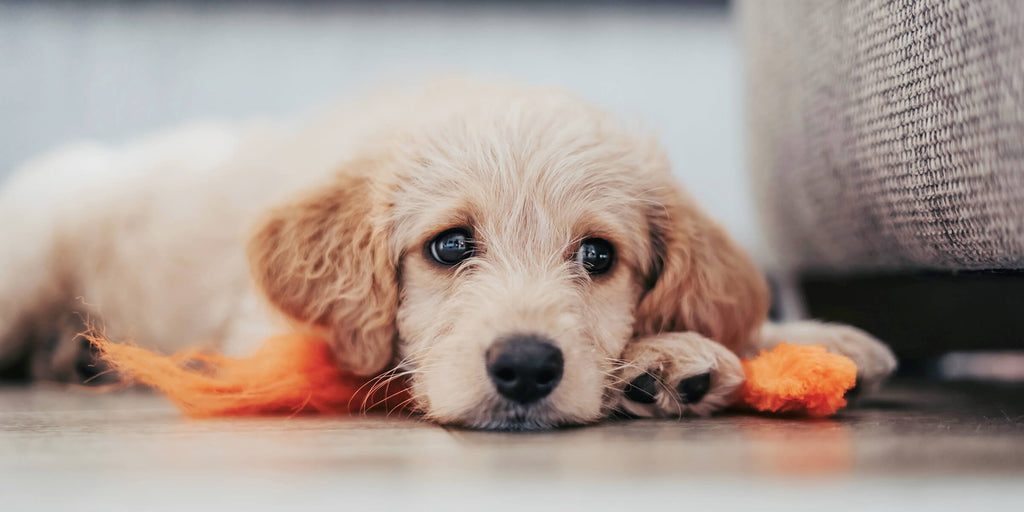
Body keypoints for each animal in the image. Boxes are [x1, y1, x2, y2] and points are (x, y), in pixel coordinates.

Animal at [0, 79, 897, 430]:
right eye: (451, 245)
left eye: (597, 257)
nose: (527, 367)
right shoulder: (271, 336)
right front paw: (670, 355)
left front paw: (812, 339)